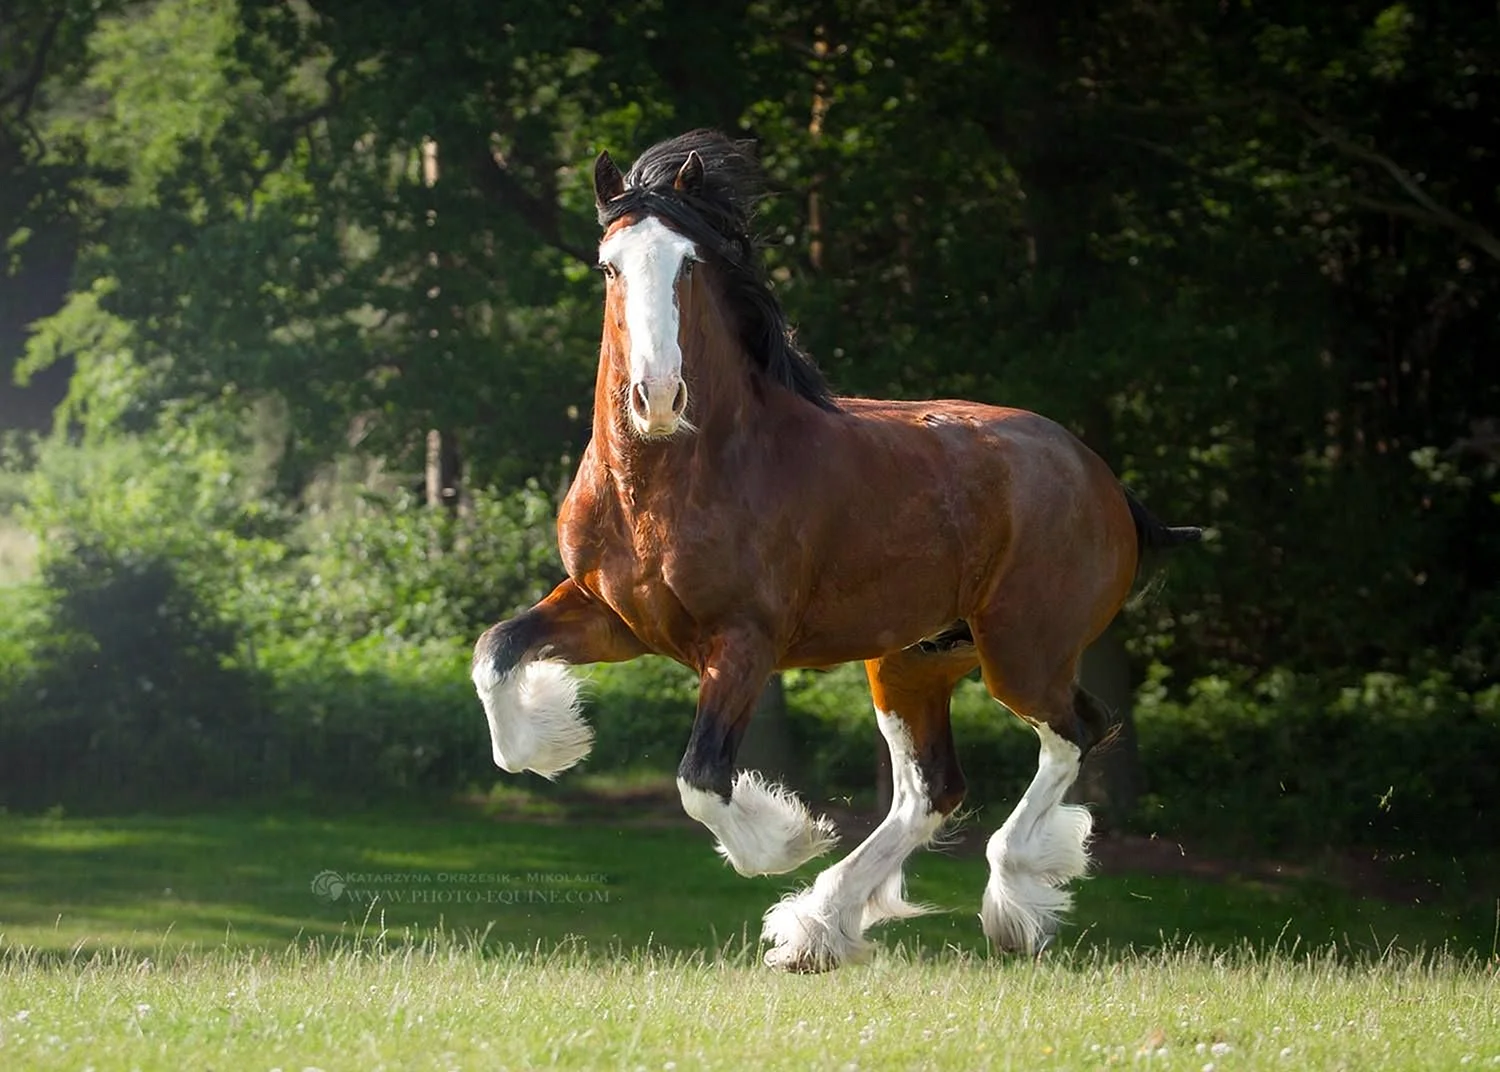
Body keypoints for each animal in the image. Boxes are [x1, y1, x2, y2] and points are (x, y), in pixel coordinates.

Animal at [474, 128, 1200, 971]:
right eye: (609, 266)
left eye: (688, 263)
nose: (657, 398)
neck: (669, 480)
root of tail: (1099, 475)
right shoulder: (612, 618)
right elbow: (496, 654)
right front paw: (552, 742)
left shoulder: (742, 644)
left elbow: (700, 779)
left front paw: (782, 839)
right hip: (914, 660)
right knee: (934, 789)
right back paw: (820, 926)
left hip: (1022, 653)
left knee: (1074, 734)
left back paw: (1012, 894)